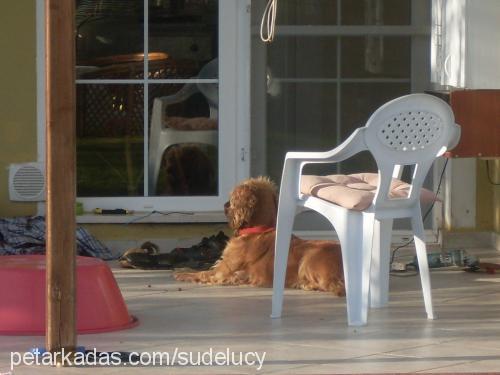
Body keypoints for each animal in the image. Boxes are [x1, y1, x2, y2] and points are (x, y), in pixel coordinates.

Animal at [174, 176, 346, 296]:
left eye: (231, 199)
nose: (224, 205)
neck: (258, 230)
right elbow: (200, 269)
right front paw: (182, 268)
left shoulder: (223, 271)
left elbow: (202, 273)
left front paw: (181, 274)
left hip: (308, 259)